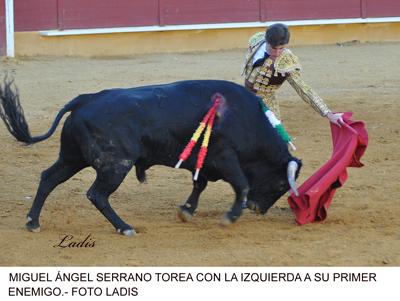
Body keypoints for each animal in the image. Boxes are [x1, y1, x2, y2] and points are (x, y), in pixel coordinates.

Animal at [0, 78, 302, 233]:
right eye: (281, 184)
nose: (257, 209)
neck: (246, 119)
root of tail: (86, 99)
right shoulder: (225, 157)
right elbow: (242, 184)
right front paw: (231, 216)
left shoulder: (204, 162)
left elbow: (199, 184)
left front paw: (186, 211)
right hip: (115, 164)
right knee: (97, 194)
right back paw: (124, 227)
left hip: (72, 157)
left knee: (48, 178)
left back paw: (33, 222)